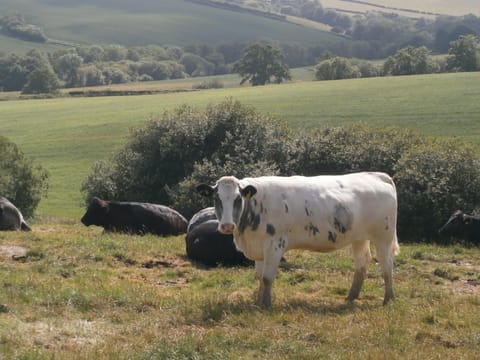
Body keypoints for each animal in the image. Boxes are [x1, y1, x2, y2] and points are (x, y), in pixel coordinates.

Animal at [197, 172, 400, 306]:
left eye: (238, 198)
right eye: (217, 198)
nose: (227, 226)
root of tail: (377, 175)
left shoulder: (275, 244)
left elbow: (267, 278)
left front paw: (266, 304)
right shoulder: (259, 248)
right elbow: (259, 277)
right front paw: (258, 300)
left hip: (383, 237)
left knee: (386, 265)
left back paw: (388, 299)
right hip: (359, 238)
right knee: (362, 263)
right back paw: (351, 297)